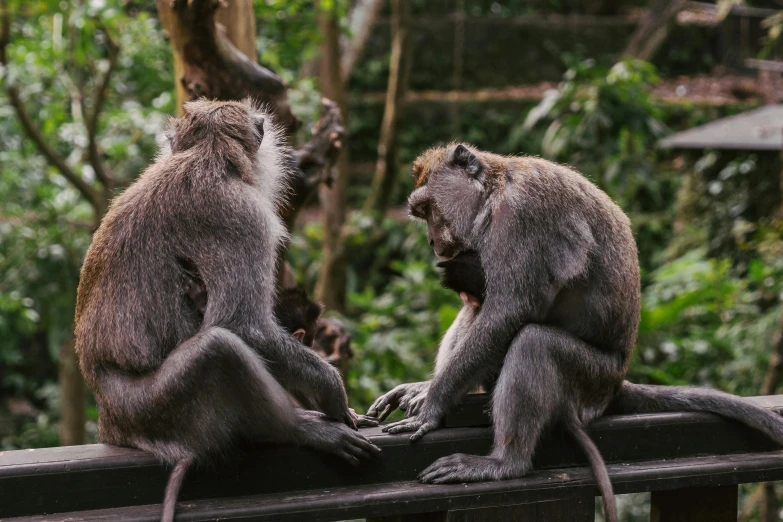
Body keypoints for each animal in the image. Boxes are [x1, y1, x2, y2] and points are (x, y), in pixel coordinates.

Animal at [76, 99, 380, 520]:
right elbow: (243, 325)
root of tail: (110, 422)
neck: (207, 156)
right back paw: (296, 429)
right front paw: (333, 392)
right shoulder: (245, 219)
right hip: (154, 408)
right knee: (219, 349)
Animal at [368, 141, 783, 520]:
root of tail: (616, 383)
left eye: (429, 210)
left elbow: (510, 311)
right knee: (481, 314)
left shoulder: (522, 214)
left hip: (589, 379)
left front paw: (432, 405)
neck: (494, 191)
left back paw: (505, 462)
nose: (432, 241)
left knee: (533, 341)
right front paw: (423, 388)